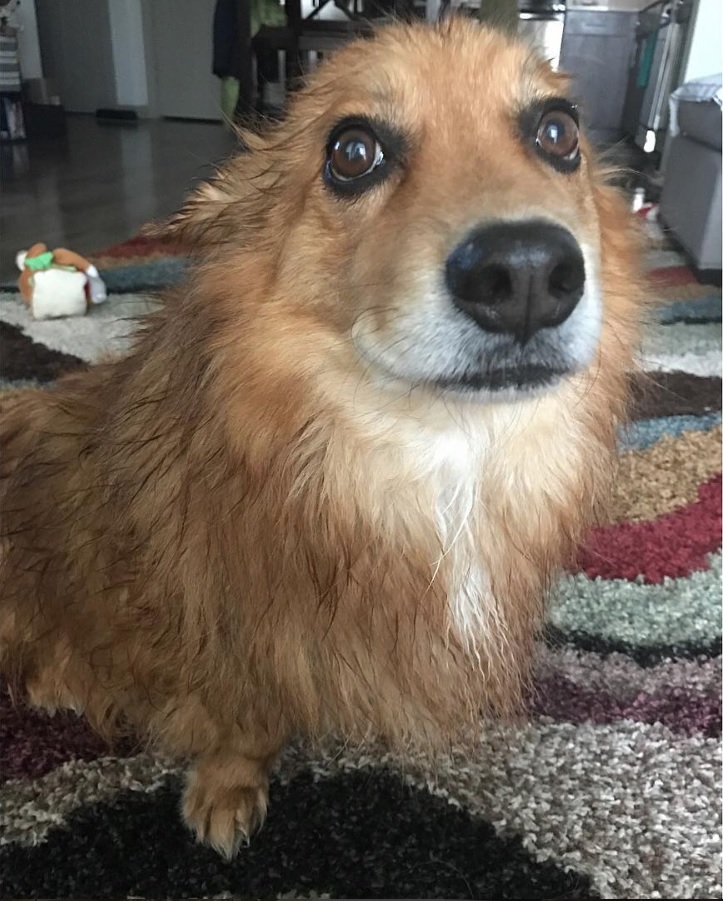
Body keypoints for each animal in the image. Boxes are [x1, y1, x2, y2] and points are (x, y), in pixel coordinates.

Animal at [0, 17, 644, 856]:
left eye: (558, 133)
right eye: (352, 151)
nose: (529, 272)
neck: (430, 455)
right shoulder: (218, 623)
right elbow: (240, 712)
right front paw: (227, 786)